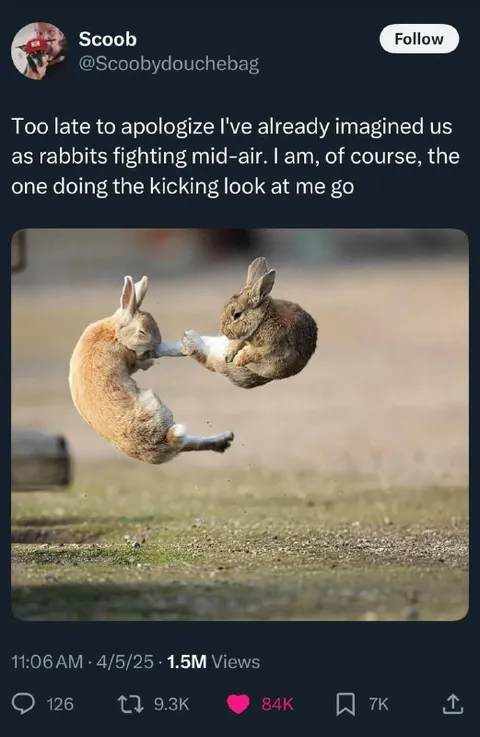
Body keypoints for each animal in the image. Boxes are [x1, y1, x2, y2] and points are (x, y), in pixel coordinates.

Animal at [68, 275, 234, 464]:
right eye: (142, 331)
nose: (155, 344)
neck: (115, 333)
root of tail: (165, 441)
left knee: (188, 443)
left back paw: (225, 439)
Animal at [180, 257, 318, 389]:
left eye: (237, 315)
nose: (224, 332)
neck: (262, 320)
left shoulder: (275, 349)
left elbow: (255, 353)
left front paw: (239, 359)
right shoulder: (244, 337)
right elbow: (238, 343)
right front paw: (228, 355)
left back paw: (190, 340)